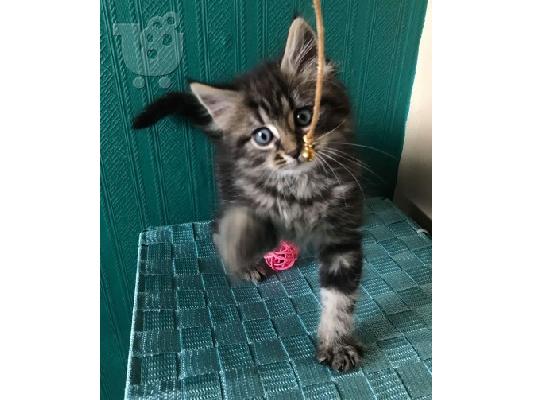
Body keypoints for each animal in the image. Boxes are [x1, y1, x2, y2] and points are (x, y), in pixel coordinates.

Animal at [136, 16, 366, 372]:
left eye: (303, 117)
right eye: (263, 136)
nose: (294, 151)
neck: (301, 187)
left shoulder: (343, 231)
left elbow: (340, 299)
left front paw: (337, 343)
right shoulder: (252, 198)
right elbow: (250, 225)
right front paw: (242, 250)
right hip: (229, 186)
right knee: (217, 223)